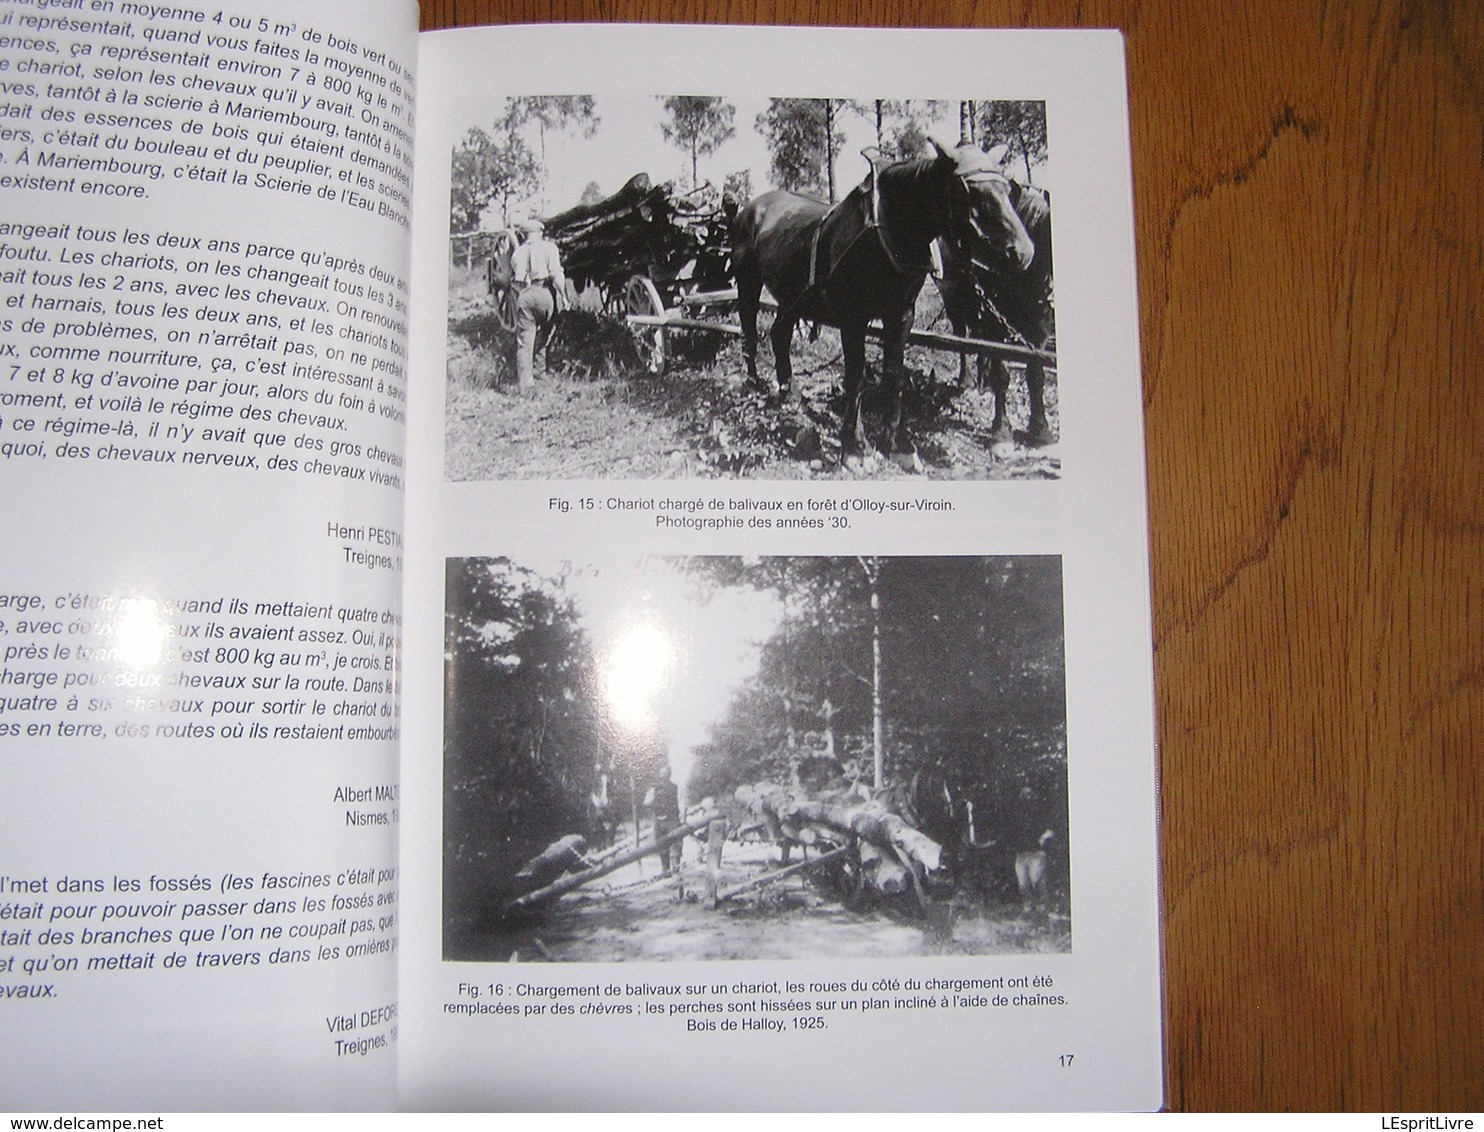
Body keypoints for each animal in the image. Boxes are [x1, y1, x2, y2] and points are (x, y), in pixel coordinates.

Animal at [736, 143, 1038, 462]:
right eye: (969, 192)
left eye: (1007, 189)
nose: (1024, 252)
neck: (885, 232)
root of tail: (752, 208)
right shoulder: (852, 318)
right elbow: (855, 377)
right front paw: (855, 446)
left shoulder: (901, 314)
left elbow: (894, 375)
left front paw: (894, 443)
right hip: (748, 283)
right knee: (750, 330)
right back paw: (753, 382)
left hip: (792, 298)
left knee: (779, 334)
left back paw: (788, 391)